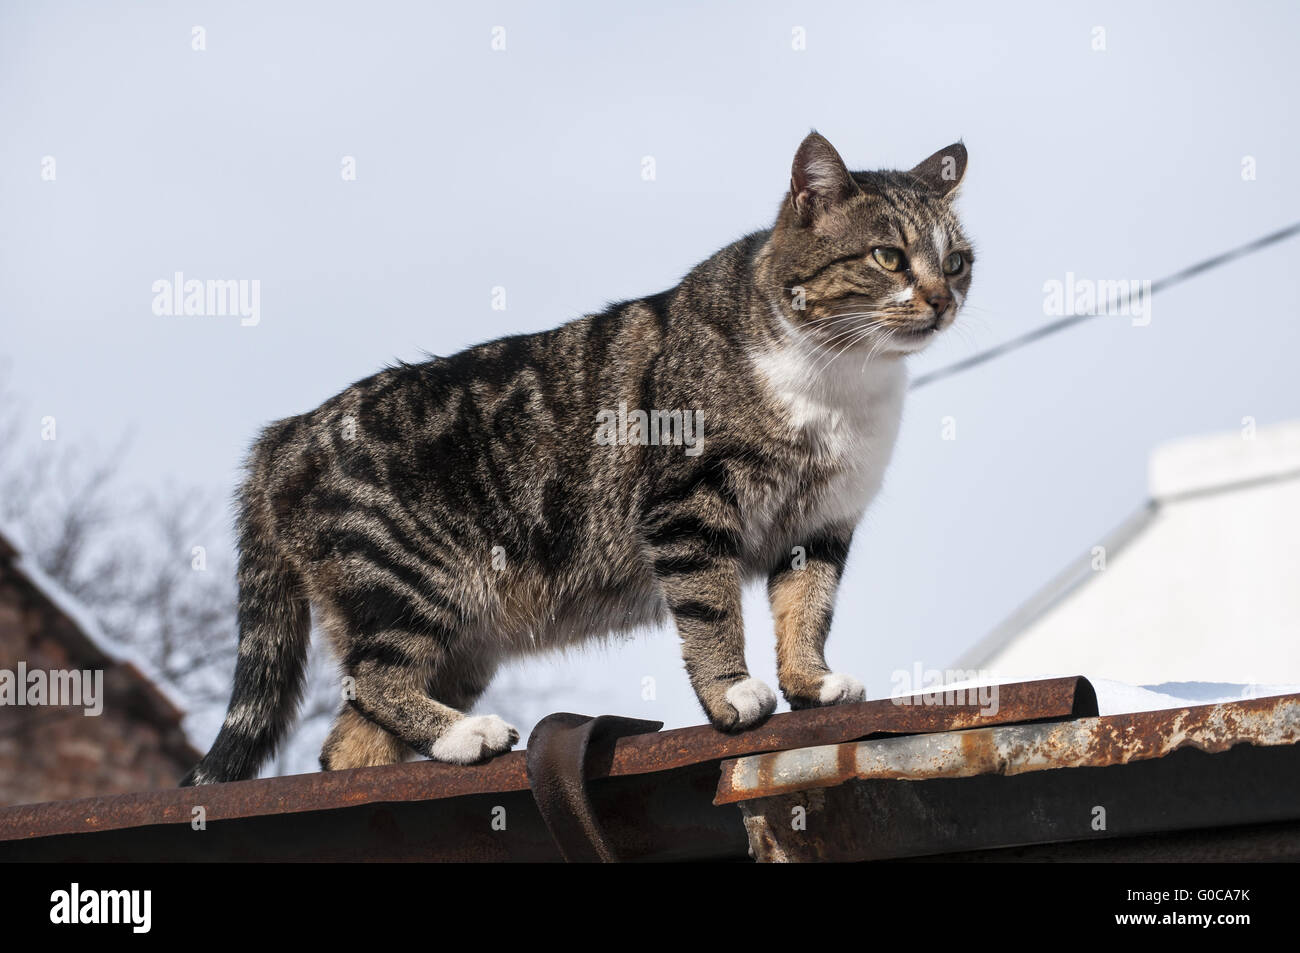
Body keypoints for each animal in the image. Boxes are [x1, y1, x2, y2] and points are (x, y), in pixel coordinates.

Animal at [183, 131, 977, 780]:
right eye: (888, 257)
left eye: (960, 262)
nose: (942, 300)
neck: (840, 384)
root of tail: (284, 434)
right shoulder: (688, 502)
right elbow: (711, 604)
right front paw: (731, 691)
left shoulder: (822, 523)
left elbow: (807, 607)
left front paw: (812, 683)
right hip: (405, 578)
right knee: (374, 680)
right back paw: (463, 736)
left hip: (458, 637)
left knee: (348, 740)